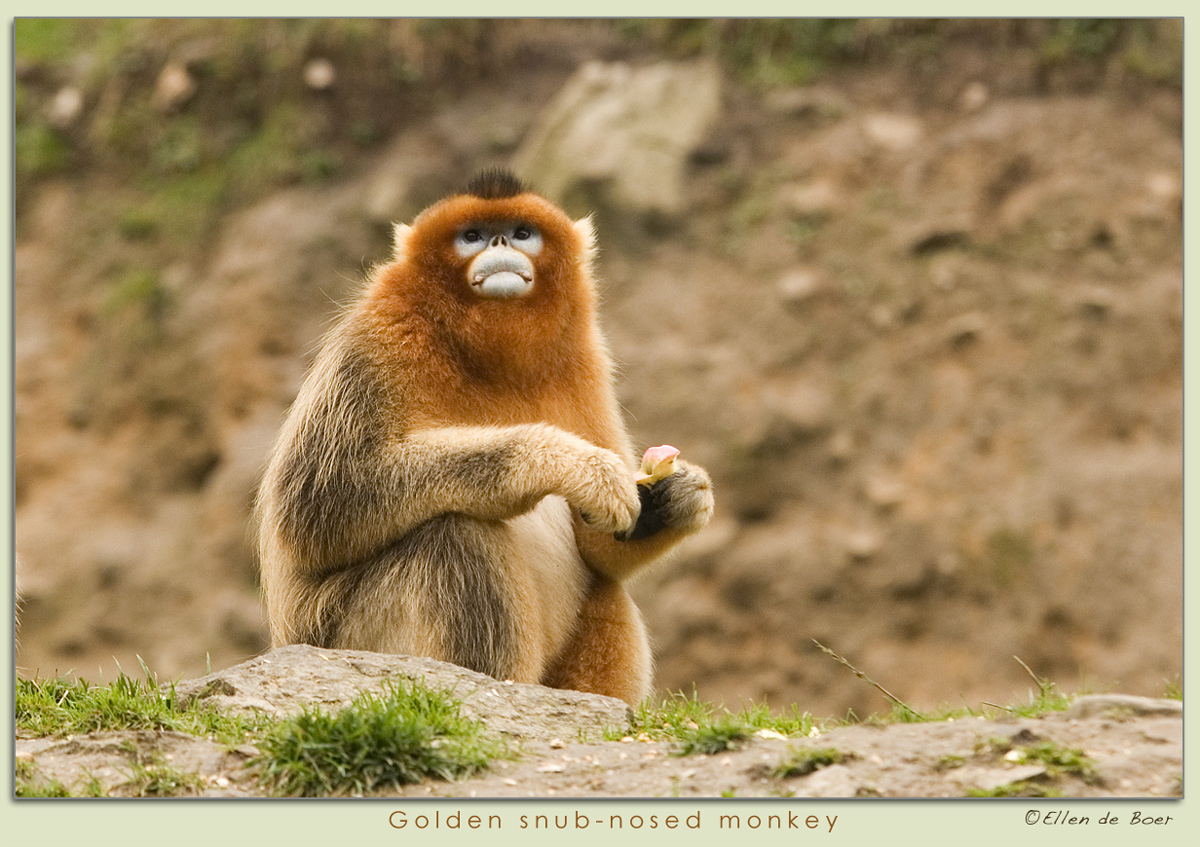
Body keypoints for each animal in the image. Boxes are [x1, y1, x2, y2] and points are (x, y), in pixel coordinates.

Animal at [255, 168, 713, 705]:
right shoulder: (380, 334)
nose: (498, 243)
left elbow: (601, 544)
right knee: (456, 533)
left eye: (521, 233)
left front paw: (677, 495)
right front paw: (564, 462)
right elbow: (315, 507)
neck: (488, 359)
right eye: (472, 236)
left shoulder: (586, 360)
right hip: (342, 636)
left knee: (604, 587)